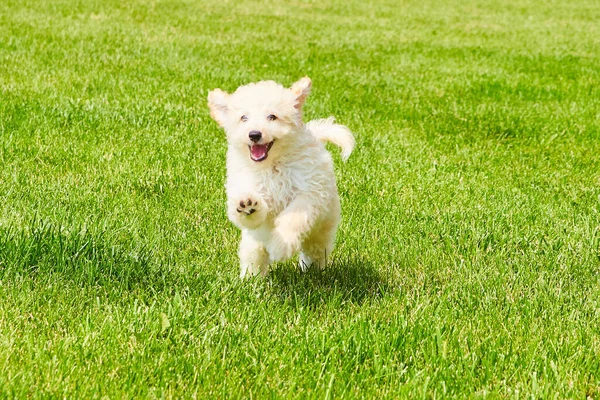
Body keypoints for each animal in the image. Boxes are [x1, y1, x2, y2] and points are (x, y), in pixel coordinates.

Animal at [207, 78, 354, 278]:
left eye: (272, 117)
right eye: (243, 118)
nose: (254, 134)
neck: (272, 165)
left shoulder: (310, 193)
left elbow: (293, 218)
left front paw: (281, 247)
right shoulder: (245, 184)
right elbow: (249, 213)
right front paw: (247, 205)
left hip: (322, 229)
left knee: (315, 250)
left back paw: (313, 270)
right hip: (253, 243)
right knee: (254, 255)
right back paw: (250, 278)